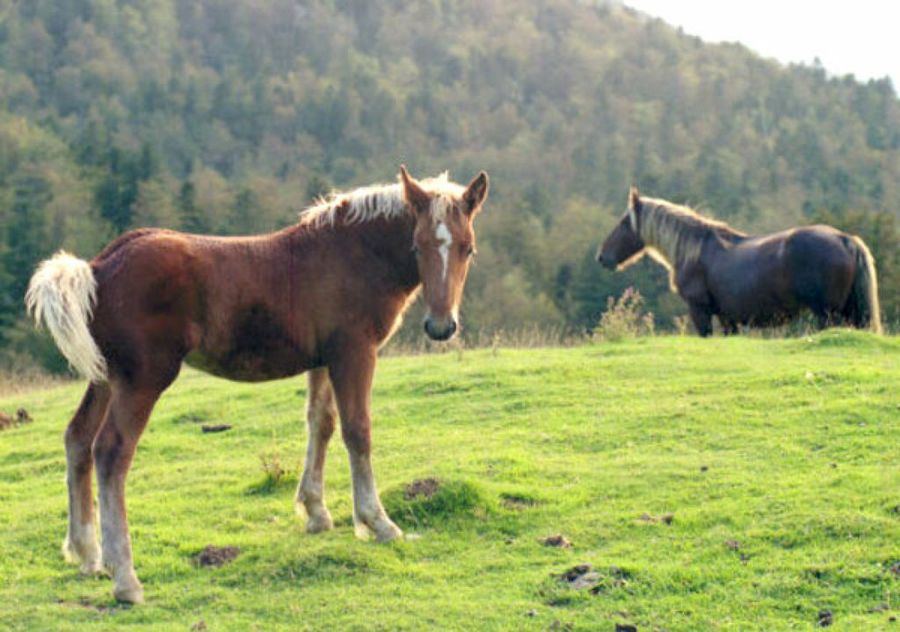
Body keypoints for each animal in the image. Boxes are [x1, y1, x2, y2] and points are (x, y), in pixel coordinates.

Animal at [25, 166, 489, 603]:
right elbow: (358, 431)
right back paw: (125, 579)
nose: (441, 327)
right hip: (142, 379)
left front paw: (316, 512)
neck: (352, 253)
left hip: (106, 376)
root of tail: (98, 267)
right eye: (418, 245)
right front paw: (378, 523)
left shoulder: (324, 360)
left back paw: (87, 554)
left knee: (77, 439)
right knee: (111, 451)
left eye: (467, 248)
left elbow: (321, 423)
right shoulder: (354, 352)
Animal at [597, 187, 882, 336]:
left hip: (828, 315)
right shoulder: (727, 319)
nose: (602, 257)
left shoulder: (700, 311)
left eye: (624, 222)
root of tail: (844, 238)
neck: (695, 250)